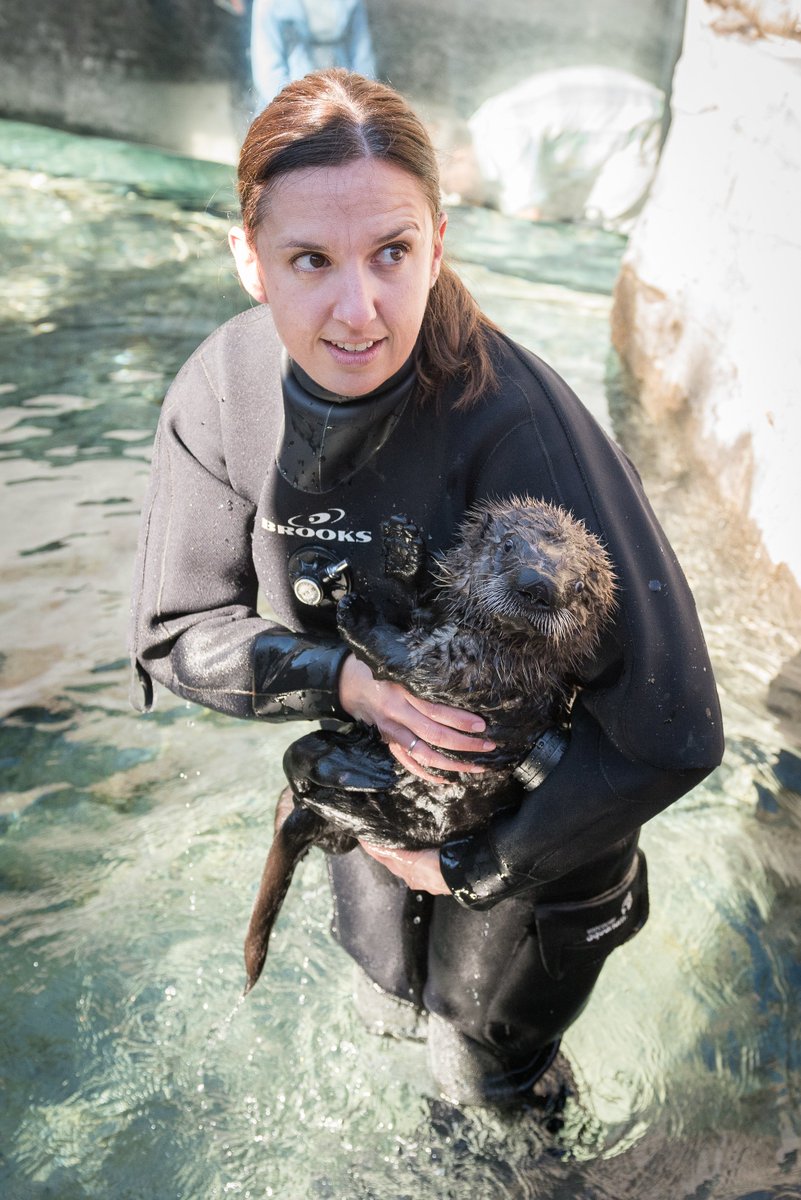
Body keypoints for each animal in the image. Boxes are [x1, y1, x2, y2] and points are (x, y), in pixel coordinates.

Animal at [243, 497, 616, 993]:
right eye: (509, 545)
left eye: (578, 585)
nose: (538, 585)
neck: (481, 630)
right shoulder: (436, 619)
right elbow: (417, 603)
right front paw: (406, 552)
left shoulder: (475, 669)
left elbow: (408, 659)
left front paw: (357, 613)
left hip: (392, 824)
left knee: (316, 788)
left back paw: (355, 769)